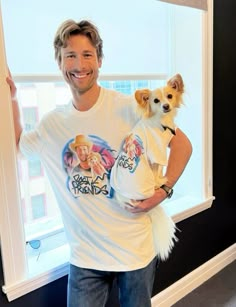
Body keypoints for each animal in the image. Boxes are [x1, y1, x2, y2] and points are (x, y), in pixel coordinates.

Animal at [110, 73, 184, 262]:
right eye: (156, 101)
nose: (166, 106)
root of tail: (124, 198)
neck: (161, 122)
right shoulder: (157, 153)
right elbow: (158, 170)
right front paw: (161, 180)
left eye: (170, 96)